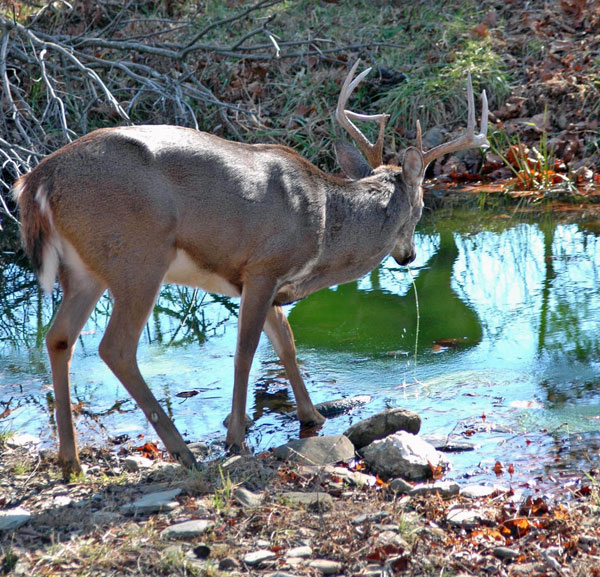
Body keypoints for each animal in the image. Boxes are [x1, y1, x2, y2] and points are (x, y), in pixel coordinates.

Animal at [11, 60, 488, 480]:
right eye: (421, 209)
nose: (408, 257)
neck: (323, 228)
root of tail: (35, 180)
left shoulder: (269, 282)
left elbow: (287, 345)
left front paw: (311, 416)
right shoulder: (263, 265)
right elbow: (245, 351)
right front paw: (236, 437)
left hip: (85, 270)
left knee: (58, 337)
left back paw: (70, 461)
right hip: (138, 256)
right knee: (116, 346)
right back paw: (183, 453)